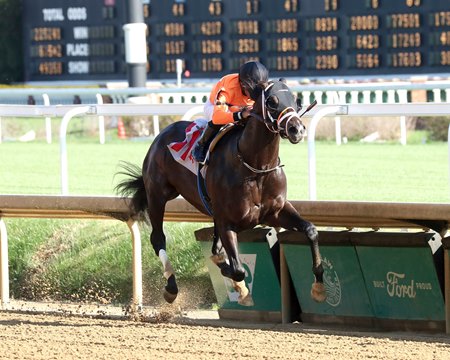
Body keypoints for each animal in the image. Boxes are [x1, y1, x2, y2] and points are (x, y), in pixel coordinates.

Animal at [117, 81, 326, 306]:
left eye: (296, 100)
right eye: (271, 101)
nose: (297, 129)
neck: (255, 168)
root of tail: (162, 134)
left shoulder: (276, 212)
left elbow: (311, 230)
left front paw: (319, 287)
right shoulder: (227, 222)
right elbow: (237, 269)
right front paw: (237, 284)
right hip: (157, 196)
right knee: (158, 238)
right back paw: (171, 287)